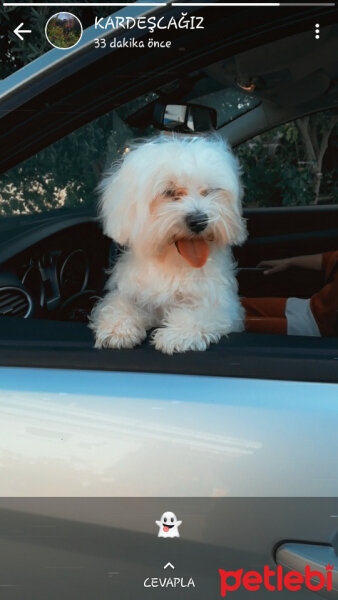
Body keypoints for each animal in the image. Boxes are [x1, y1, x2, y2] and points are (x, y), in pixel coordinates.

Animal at [90, 135, 247, 352]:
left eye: (208, 191)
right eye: (169, 192)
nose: (199, 221)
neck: (173, 264)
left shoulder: (223, 306)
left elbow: (201, 314)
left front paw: (176, 334)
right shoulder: (132, 293)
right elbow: (119, 303)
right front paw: (118, 329)